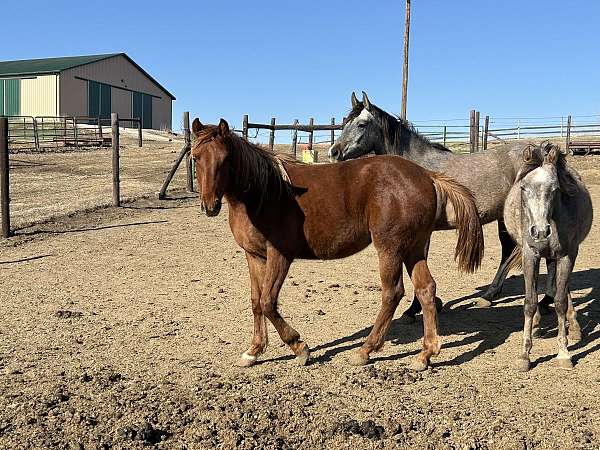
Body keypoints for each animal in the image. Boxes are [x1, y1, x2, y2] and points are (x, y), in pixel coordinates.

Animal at [192, 118, 482, 370]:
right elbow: (255, 301)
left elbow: (268, 302)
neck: (263, 194)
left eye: (225, 159)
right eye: (195, 157)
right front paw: (253, 351)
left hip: (390, 248)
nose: (210, 206)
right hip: (413, 248)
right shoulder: (254, 256)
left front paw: (299, 347)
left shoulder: (280, 255)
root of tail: (427, 175)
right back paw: (425, 355)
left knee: (392, 292)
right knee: (425, 289)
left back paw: (365, 351)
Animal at [504, 143, 592, 370]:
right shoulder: (529, 256)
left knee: (563, 288)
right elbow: (529, 302)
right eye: (523, 188)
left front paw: (563, 353)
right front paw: (524, 355)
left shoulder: (566, 256)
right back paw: (536, 324)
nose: (541, 232)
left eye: (555, 189)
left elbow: (560, 301)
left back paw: (575, 326)